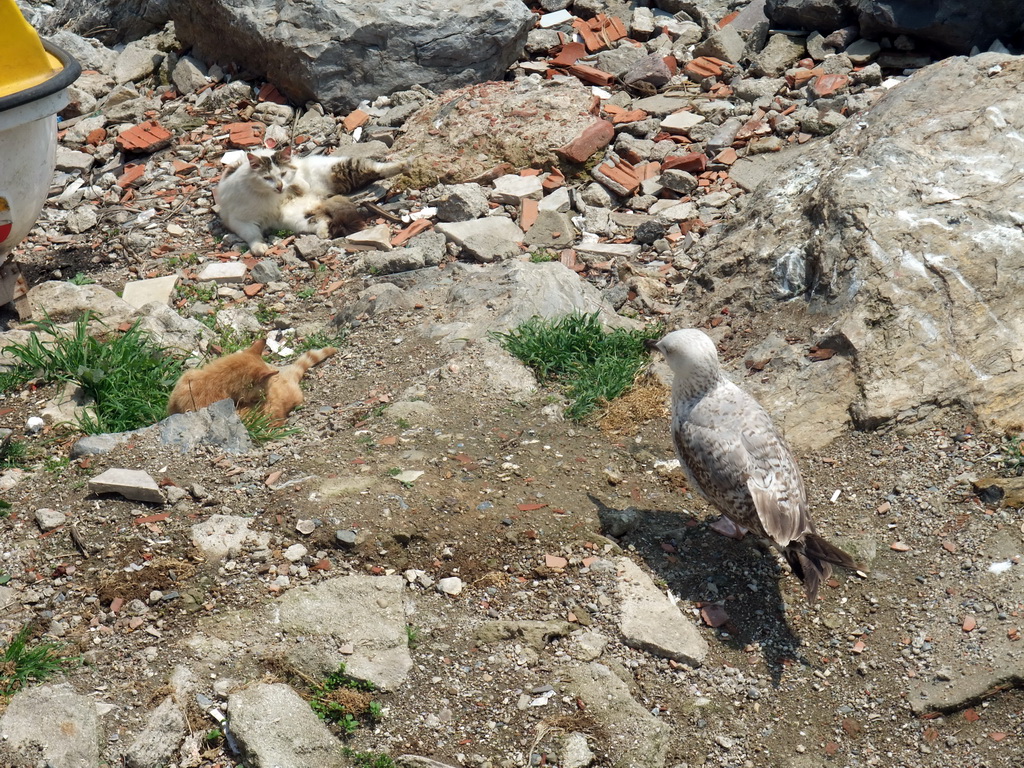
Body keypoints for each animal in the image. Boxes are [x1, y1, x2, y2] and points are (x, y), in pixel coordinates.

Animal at [215, 147, 407, 259]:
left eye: (283, 174)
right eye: (267, 178)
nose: (280, 186)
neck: (272, 197)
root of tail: (323, 198)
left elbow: (301, 184)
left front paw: (295, 185)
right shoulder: (239, 220)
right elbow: (252, 234)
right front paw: (259, 247)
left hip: (341, 169)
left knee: (376, 169)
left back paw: (405, 164)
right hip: (297, 218)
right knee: (322, 221)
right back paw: (324, 233)